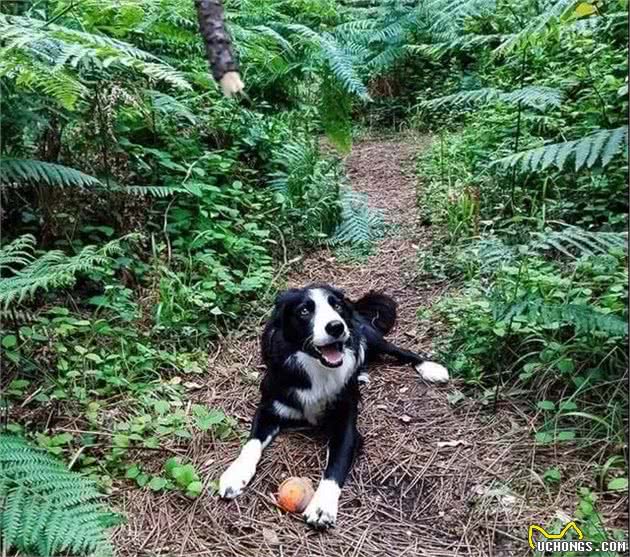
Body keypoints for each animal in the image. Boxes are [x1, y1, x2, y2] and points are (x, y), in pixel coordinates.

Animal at [218, 284, 450, 528]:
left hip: (368, 337)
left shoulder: (346, 424)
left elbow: (336, 464)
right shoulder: (268, 409)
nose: (336, 326)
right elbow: (251, 444)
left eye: (336, 306)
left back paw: (430, 368)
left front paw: (322, 506)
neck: (316, 369)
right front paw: (235, 474)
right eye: (304, 311)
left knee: (399, 350)